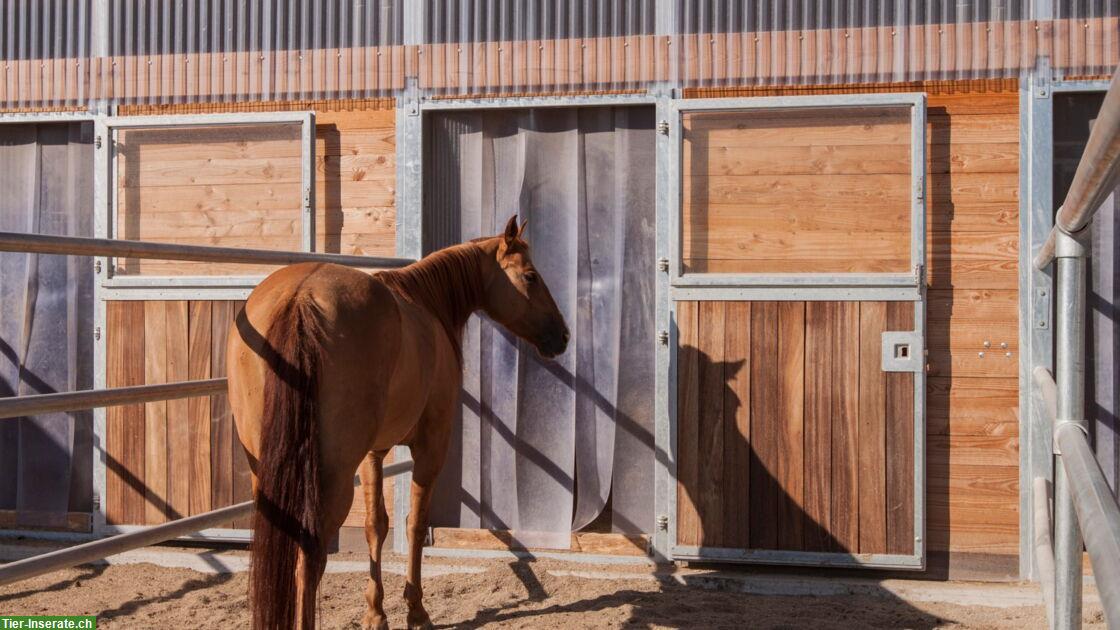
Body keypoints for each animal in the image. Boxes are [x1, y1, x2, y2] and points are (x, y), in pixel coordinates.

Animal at [228, 217, 573, 627]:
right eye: (530, 276)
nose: (562, 336)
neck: (426, 302)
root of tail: (300, 296)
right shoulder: (431, 446)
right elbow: (415, 524)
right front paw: (416, 610)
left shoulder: (373, 453)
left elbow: (376, 525)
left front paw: (376, 613)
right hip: (331, 479)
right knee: (308, 559)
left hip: (266, 472)